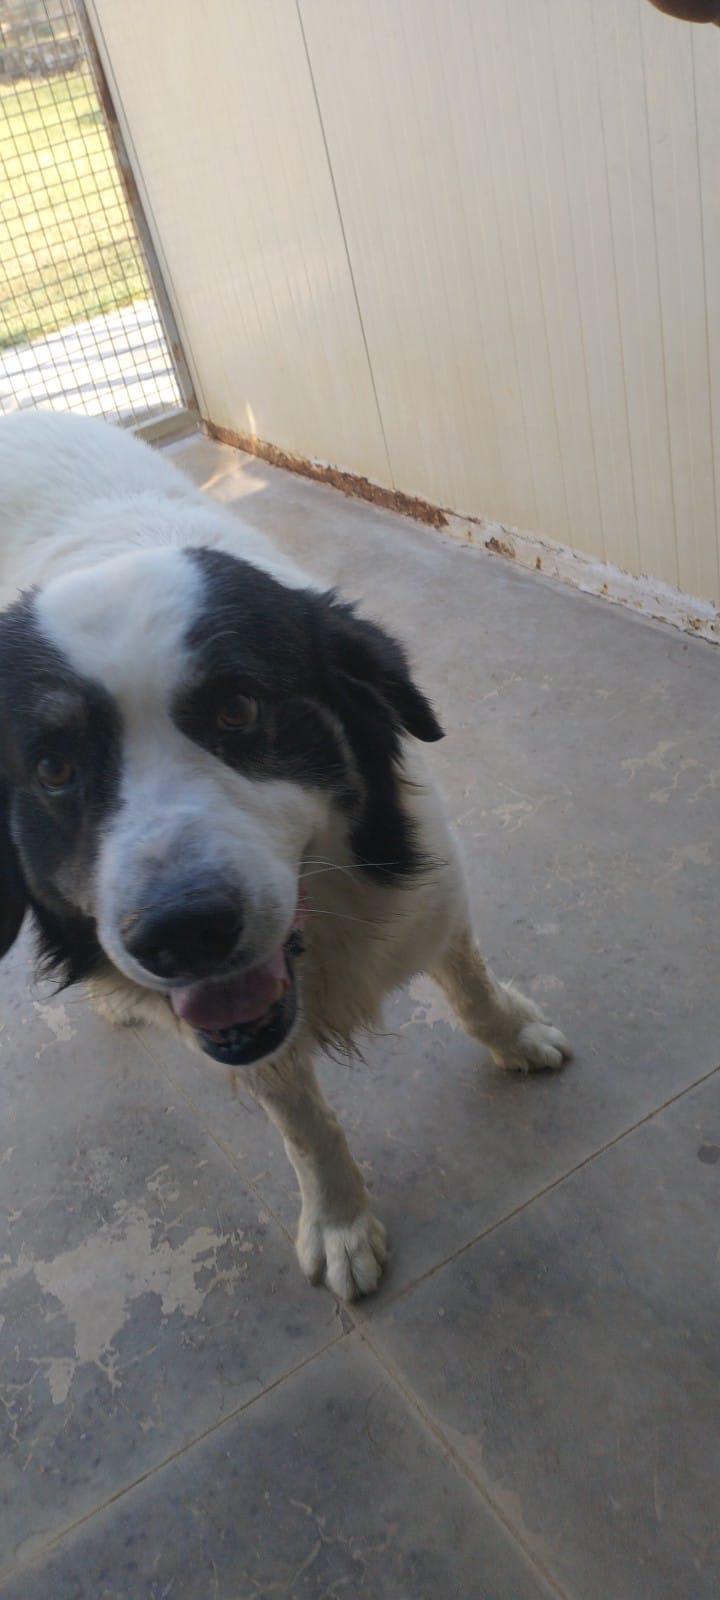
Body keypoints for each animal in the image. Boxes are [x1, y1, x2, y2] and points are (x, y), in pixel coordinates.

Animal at [0, 409, 569, 1299]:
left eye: (238, 710)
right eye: (54, 768)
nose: (181, 934)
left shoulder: (429, 893)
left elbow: (471, 983)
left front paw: (515, 1036)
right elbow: (304, 1125)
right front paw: (339, 1222)